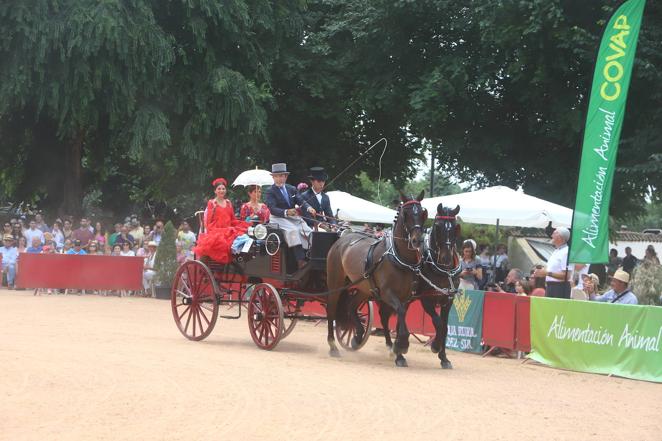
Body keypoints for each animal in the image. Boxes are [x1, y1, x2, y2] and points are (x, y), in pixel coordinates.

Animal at [326, 191, 428, 366]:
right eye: (406, 214)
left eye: (422, 213)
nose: (417, 240)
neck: (399, 258)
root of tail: (343, 237)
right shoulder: (388, 293)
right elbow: (399, 313)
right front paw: (401, 345)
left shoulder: (406, 297)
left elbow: (400, 317)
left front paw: (398, 353)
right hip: (335, 282)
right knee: (331, 308)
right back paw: (333, 346)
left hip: (364, 288)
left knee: (351, 306)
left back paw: (358, 335)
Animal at [378, 203, 462, 368]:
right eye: (437, 226)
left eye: (455, 227)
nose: (446, 258)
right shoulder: (426, 300)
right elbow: (438, 324)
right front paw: (435, 346)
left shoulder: (448, 301)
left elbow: (445, 327)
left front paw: (444, 358)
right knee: (384, 317)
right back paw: (394, 349)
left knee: (398, 318)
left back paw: (398, 349)